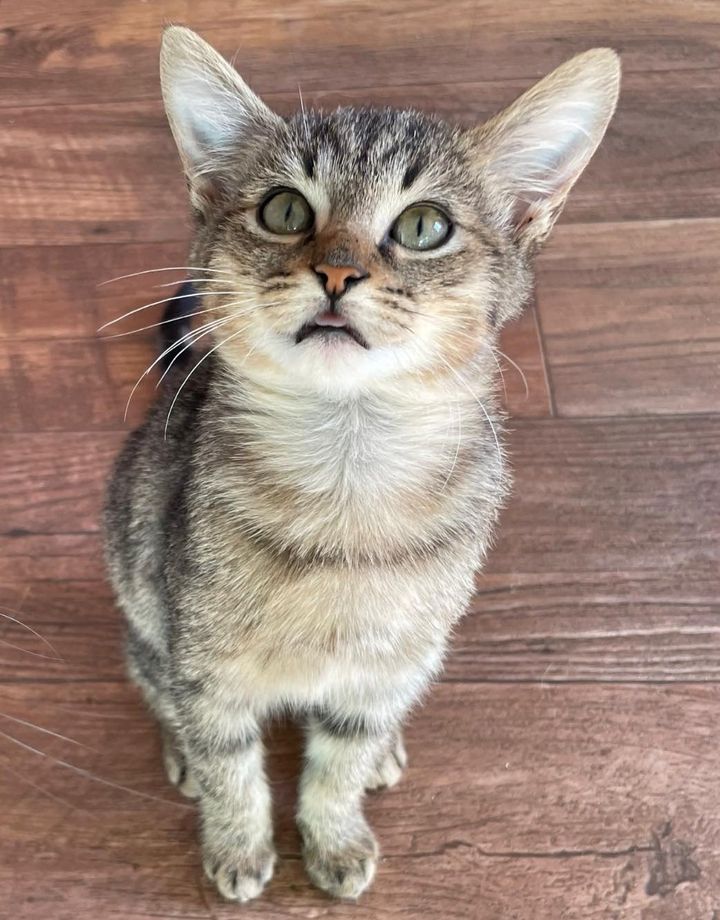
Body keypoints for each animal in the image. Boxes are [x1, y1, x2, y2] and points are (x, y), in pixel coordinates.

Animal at [102, 25, 620, 904]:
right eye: (283, 210)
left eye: (424, 225)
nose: (337, 271)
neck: (345, 488)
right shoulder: (207, 667)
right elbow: (231, 767)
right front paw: (237, 844)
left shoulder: (383, 671)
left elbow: (336, 767)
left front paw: (337, 836)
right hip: (141, 599)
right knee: (157, 687)